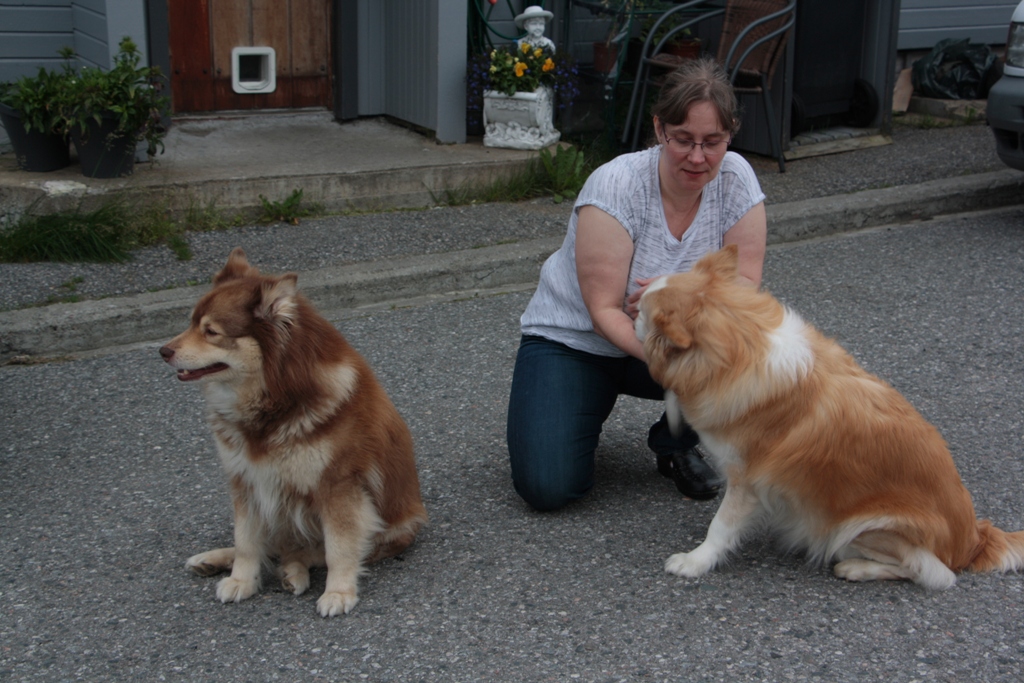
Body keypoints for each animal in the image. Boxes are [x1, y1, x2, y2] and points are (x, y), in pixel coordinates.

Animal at [158, 248, 428, 618]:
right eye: (190, 323)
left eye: (211, 331)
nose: (163, 351)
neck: (275, 400)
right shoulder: (246, 481)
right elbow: (246, 542)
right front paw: (241, 580)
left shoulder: (339, 488)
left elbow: (338, 548)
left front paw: (339, 593)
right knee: (273, 547)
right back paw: (214, 560)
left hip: (393, 527)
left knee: (303, 552)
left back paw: (292, 571)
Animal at [634, 245, 1019, 589]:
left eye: (643, 312)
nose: (632, 304)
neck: (741, 342)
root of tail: (973, 541)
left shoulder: (747, 480)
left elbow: (721, 526)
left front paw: (695, 561)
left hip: (859, 527)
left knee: (931, 571)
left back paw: (856, 568)